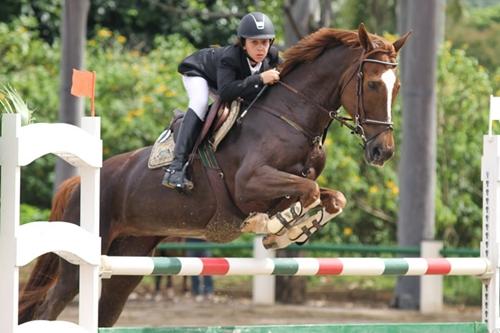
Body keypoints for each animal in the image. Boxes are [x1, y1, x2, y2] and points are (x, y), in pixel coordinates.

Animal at [19, 24, 410, 326]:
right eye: (373, 84)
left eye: (397, 87)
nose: (383, 152)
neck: (291, 117)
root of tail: (77, 182)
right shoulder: (249, 184)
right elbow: (307, 190)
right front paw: (275, 226)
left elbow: (329, 196)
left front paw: (296, 226)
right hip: (78, 262)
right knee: (49, 307)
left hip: (131, 255)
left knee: (105, 309)